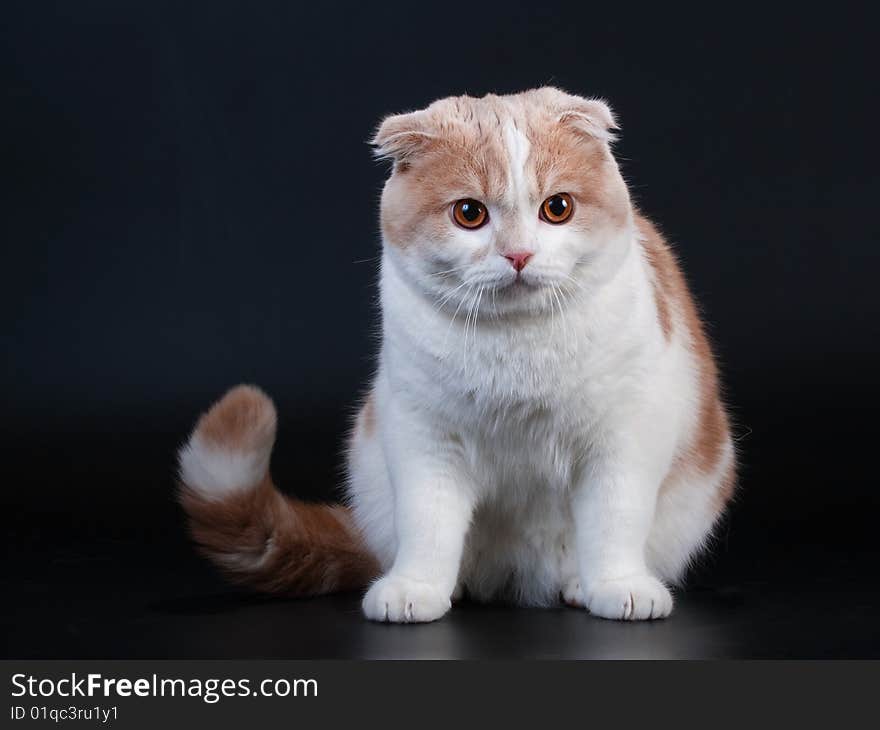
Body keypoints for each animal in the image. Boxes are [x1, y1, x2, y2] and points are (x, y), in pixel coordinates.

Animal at [179, 85, 736, 620]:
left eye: (557, 208)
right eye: (470, 214)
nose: (518, 254)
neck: (517, 350)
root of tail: (521, 580)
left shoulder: (622, 437)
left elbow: (615, 519)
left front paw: (619, 586)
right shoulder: (423, 436)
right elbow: (428, 521)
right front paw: (416, 588)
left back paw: (579, 585)